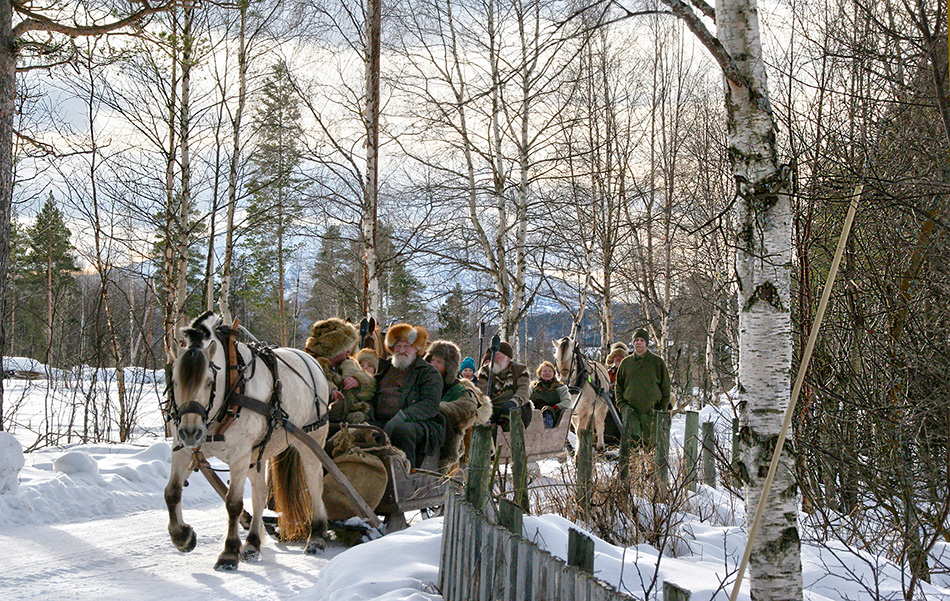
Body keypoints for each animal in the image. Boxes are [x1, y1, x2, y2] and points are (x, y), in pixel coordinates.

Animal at [169, 312, 332, 568]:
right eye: (175, 381)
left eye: (209, 381)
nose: (190, 432)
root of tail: (311, 360)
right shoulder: (183, 451)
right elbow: (172, 492)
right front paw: (183, 537)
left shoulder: (239, 455)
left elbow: (233, 503)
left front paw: (228, 552)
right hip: (259, 452)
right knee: (260, 493)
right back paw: (253, 542)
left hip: (311, 439)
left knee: (314, 483)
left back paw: (316, 536)